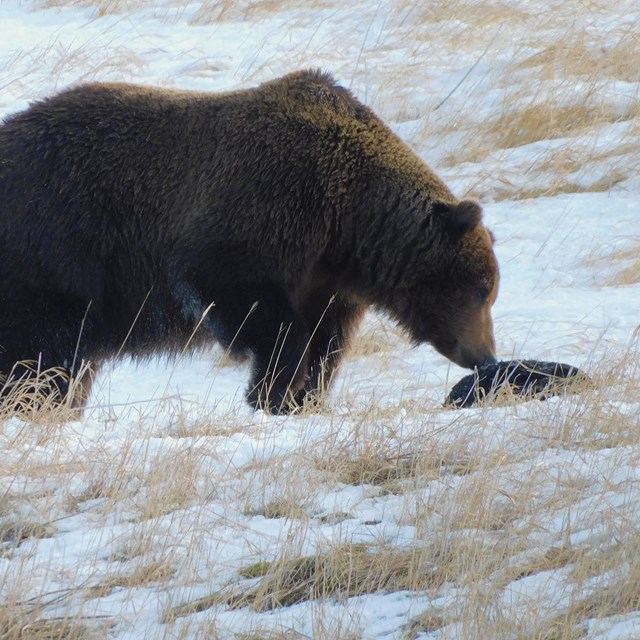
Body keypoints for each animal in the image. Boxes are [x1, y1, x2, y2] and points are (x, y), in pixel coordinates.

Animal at [0, 69, 500, 416]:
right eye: (480, 291)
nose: (485, 356)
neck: (347, 218)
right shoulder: (261, 212)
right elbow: (252, 306)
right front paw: (274, 390)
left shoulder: (326, 279)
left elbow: (326, 340)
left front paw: (303, 397)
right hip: (55, 254)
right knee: (43, 353)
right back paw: (34, 403)